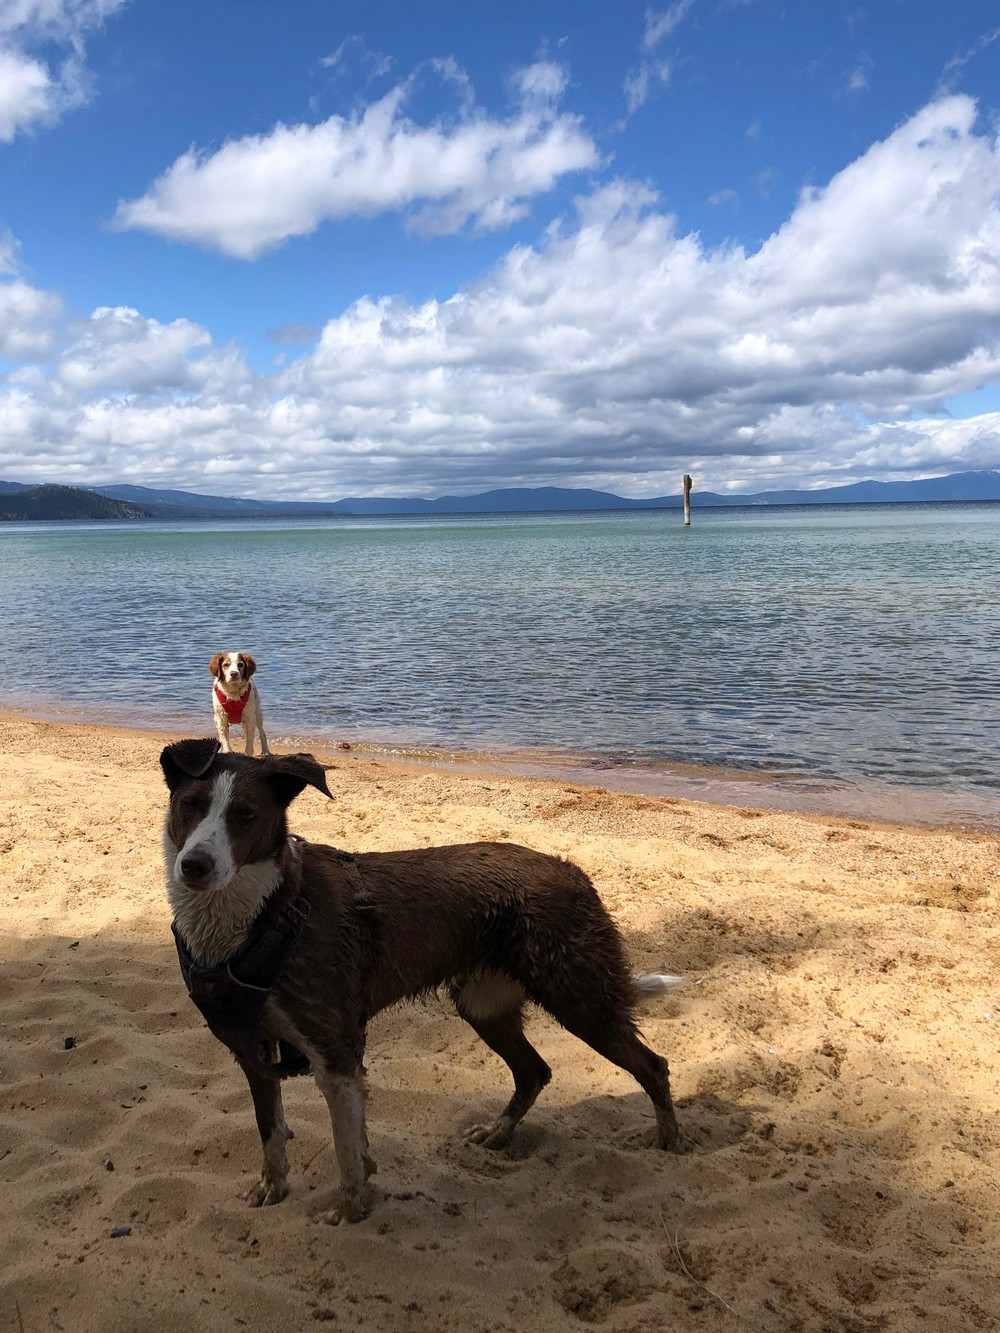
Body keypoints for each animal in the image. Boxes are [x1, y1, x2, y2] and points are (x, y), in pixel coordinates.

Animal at [160, 741, 688, 1226]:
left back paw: (669, 1140)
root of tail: (573, 872)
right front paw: (274, 1186)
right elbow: (271, 1131)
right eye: (190, 804)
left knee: (652, 1066)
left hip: (579, 998)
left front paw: (351, 1211)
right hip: (484, 1004)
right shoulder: (253, 1053)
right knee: (534, 1072)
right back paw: (498, 1133)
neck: (267, 914)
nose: (194, 866)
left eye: (246, 815)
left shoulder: (336, 1052)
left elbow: (347, 1152)